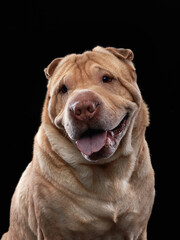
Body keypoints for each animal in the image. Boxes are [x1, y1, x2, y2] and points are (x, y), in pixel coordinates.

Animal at [1, 46, 155, 239]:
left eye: (106, 78)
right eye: (63, 89)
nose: (82, 107)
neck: (107, 172)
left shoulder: (138, 229)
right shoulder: (54, 231)